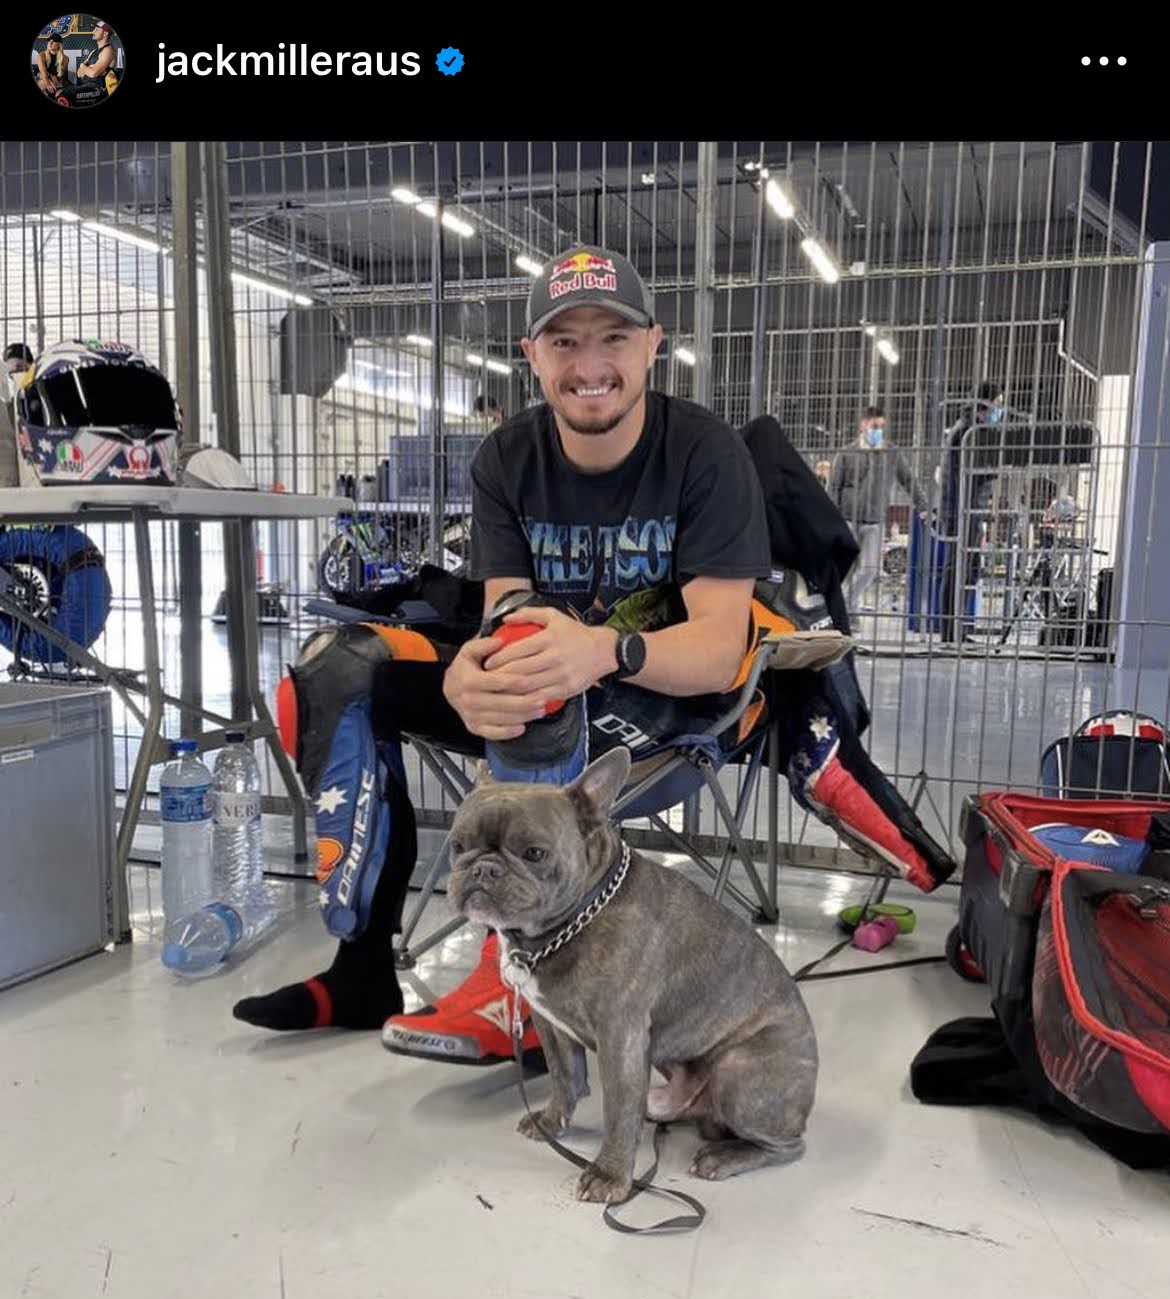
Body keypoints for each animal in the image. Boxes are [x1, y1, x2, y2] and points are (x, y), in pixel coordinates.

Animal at [446, 745, 818, 1204]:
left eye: (534, 853)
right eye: (457, 845)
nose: (483, 869)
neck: (565, 926)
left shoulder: (620, 1036)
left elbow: (619, 1111)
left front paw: (609, 1174)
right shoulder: (552, 1025)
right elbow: (564, 1078)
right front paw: (552, 1123)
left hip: (739, 1071)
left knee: (786, 1145)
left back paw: (724, 1157)